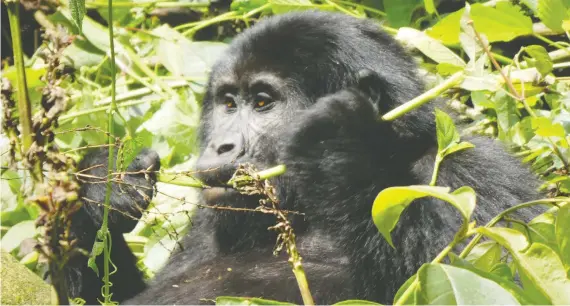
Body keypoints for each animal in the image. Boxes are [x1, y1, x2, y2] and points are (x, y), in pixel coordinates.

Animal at [66, 10, 536, 304]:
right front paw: (101, 188)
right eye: (228, 103)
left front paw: (342, 150)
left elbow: (497, 281)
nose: (220, 146)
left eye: (262, 103)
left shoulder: (476, 176)